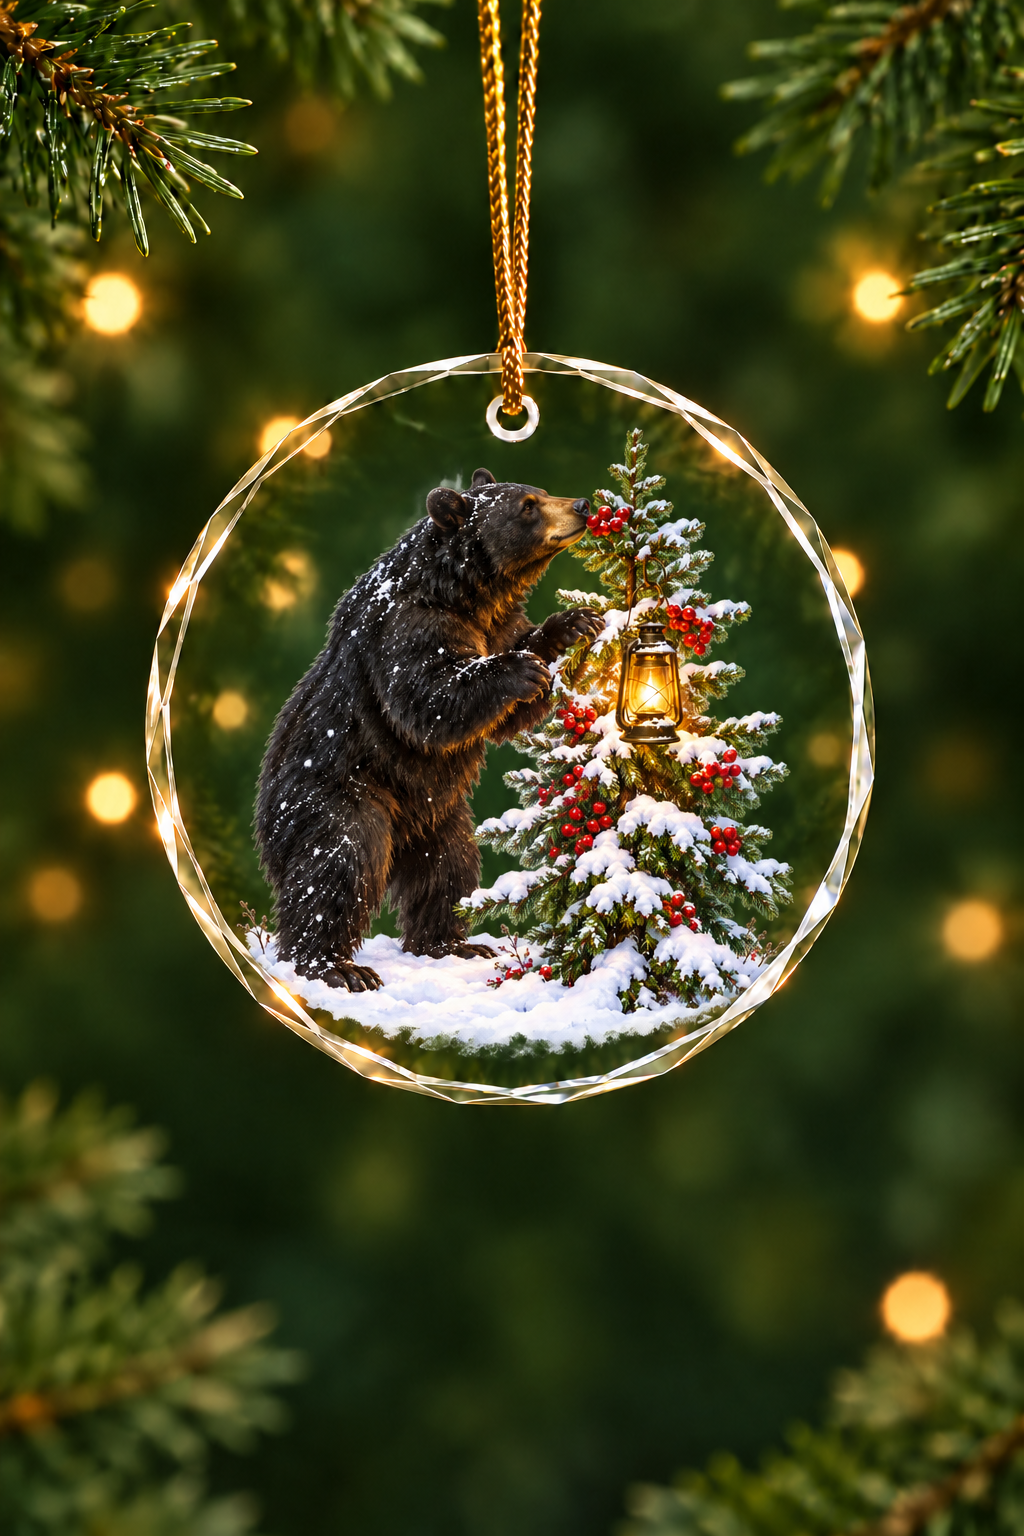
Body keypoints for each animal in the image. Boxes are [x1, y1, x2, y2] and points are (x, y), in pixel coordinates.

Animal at [255, 468, 601, 992]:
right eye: (527, 506)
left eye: (540, 492)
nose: (581, 505)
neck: (464, 595)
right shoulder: (409, 627)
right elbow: (428, 696)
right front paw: (518, 669)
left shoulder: (496, 622)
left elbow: (508, 704)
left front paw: (575, 623)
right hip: (342, 796)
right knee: (338, 865)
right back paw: (335, 966)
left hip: (438, 812)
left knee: (448, 869)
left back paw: (452, 942)